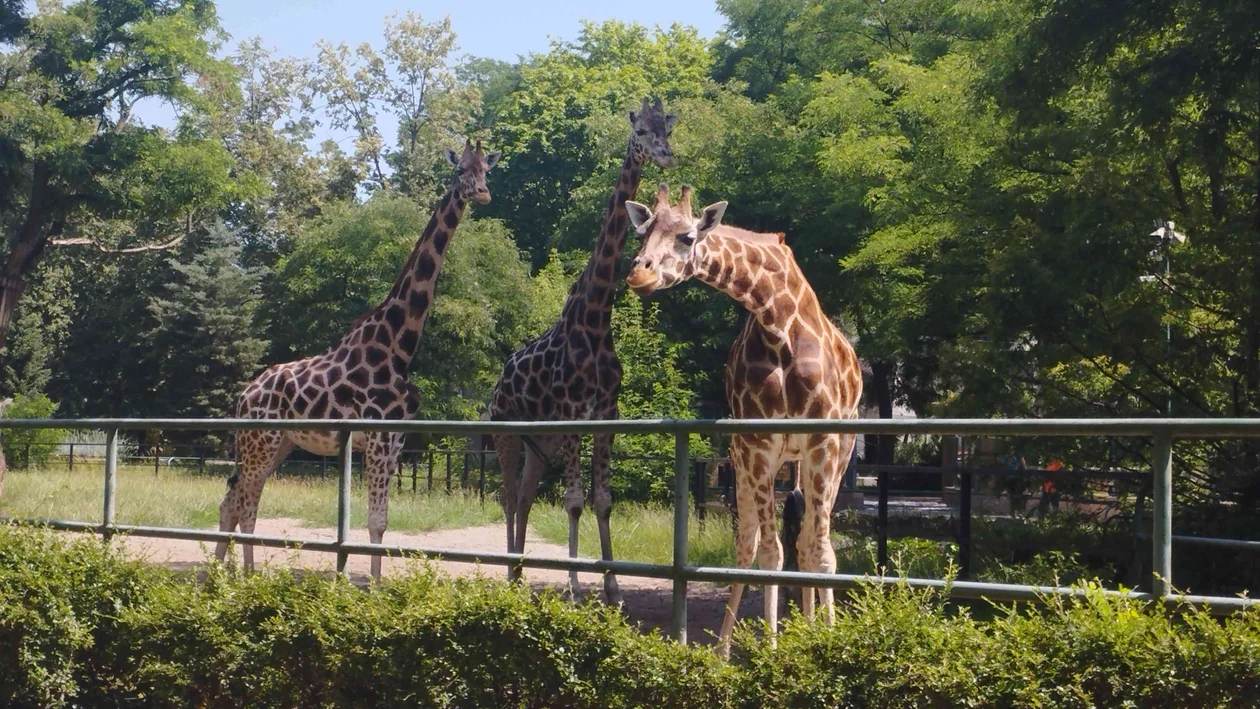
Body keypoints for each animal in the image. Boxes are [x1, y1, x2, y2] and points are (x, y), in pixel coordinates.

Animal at [216, 137, 496, 576]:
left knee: (232, 501)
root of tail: (244, 396)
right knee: (244, 504)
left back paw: (217, 574)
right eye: (459, 170)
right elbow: (374, 522)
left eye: (487, 169)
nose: (482, 193)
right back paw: (245, 576)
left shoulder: (396, 440)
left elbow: (381, 522)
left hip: (278, 443)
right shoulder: (379, 439)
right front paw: (372, 588)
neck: (399, 346)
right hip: (261, 440)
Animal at [486, 95, 680, 604]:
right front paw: (575, 587)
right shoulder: (574, 411)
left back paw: (520, 574)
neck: (595, 317)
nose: (666, 155)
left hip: (541, 444)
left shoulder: (605, 414)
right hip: (506, 433)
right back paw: (509, 576)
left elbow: (603, 500)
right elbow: (574, 502)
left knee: (526, 495)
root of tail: (497, 385)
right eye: (640, 131)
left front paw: (612, 588)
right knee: (509, 497)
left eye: (667, 128)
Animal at [622, 186, 861, 659]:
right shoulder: (758, 441)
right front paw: (770, 651)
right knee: (750, 543)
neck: (776, 323)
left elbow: (822, 551)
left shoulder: (823, 439)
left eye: (687, 237)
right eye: (641, 233)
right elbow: (769, 553)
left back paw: (811, 631)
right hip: (747, 458)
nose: (639, 273)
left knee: (809, 540)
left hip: (832, 453)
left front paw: (826, 643)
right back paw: (726, 650)